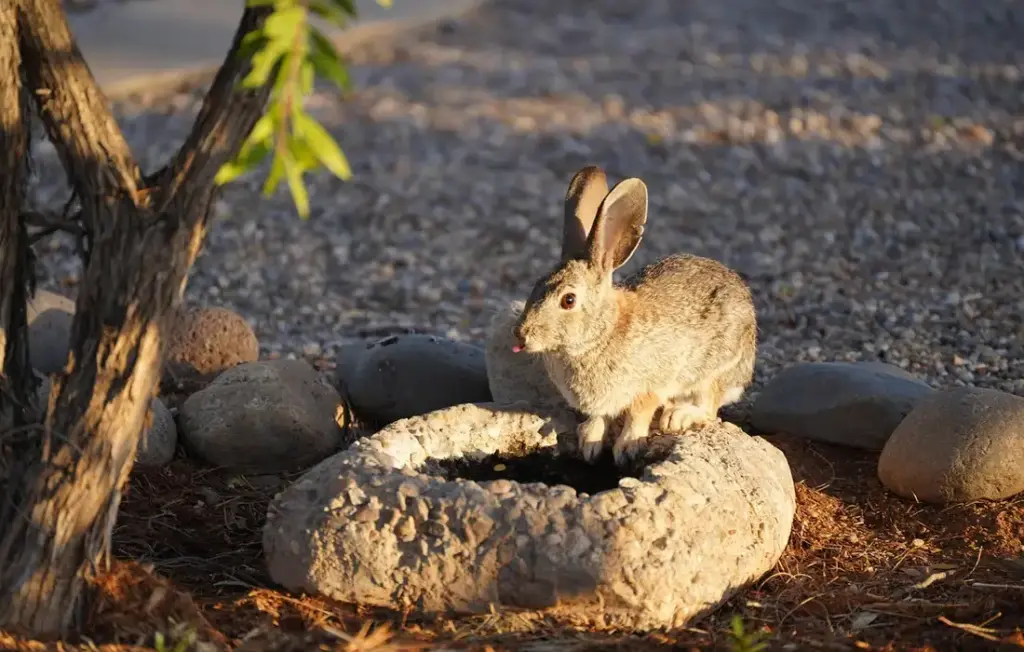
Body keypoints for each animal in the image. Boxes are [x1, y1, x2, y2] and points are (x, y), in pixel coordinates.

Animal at [511, 165, 757, 466]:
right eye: (535, 286)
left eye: (568, 300)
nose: (521, 334)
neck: (601, 332)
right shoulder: (601, 402)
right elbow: (599, 417)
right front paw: (589, 443)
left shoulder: (650, 385)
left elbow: (639, 414)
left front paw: (626, 447)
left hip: (715, 369)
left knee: (709, 407)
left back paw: (678, 416)